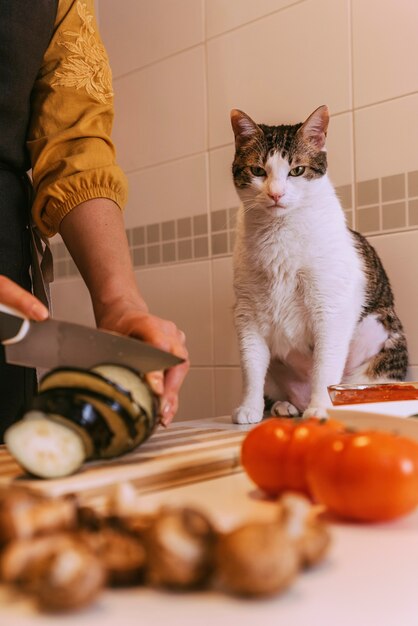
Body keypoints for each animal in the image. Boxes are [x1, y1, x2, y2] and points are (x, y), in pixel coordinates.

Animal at [230, 105, 406, 424]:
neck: (279, 233)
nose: (276, 193)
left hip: (383, 342)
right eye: (258, 171)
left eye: (297, 170)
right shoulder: (246, 312)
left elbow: (325, 366)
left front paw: (321, 407)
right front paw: (249, 407)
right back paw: (285, 405)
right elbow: (251, 366)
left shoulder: (331, 307)